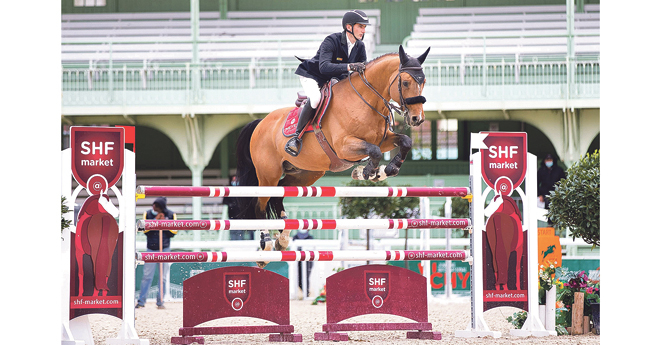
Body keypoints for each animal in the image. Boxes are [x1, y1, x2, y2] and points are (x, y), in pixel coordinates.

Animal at [235, 45, 430, 266]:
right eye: (405, 82)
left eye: (423, 81)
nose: (417, 118)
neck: (366, 101)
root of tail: (260, 123)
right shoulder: (344, 146)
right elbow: (374, 151)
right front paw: (367, 172)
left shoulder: (384, 138)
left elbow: (404, 141)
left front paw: (386, 170)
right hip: (268, 174)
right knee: (261, 204)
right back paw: (266, 245)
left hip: (305, 173)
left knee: (280, 193)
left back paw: (282, 240)